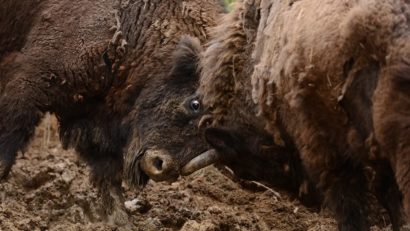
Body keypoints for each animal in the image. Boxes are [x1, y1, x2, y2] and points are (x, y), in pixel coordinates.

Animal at [0, 0, 224, 225]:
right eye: (195, 104)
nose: (161, 166)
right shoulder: (29, 85)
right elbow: (9, 140)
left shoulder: (97, 117)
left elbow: (108, 174)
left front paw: (120, 220)